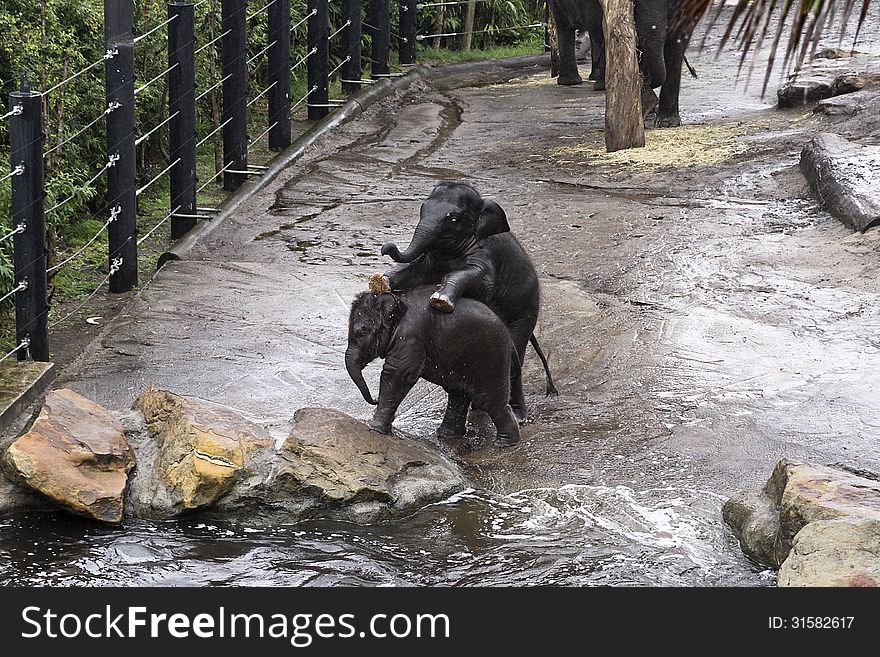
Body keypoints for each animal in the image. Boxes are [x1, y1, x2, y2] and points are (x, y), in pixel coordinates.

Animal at [344, 286, 524, 446]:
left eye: (361, 332)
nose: (374, 400)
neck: (398, 299)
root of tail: (507, 334)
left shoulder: (410, 337)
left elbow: (398, 373)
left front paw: (374, 427)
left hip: (492, 357)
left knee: (488, 401)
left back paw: (504, 443)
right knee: (458, 394)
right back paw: (446, 435)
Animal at [372, 182, 556, 422]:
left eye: (453, 219)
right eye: (422, 209)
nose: (386, 247)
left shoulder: (485, 253)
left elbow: (480, 280)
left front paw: (440, 300)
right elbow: (416, 269)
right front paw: (379, 282)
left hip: (525, 309)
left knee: (514, 357)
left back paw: (517, 415)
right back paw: (478, 409)